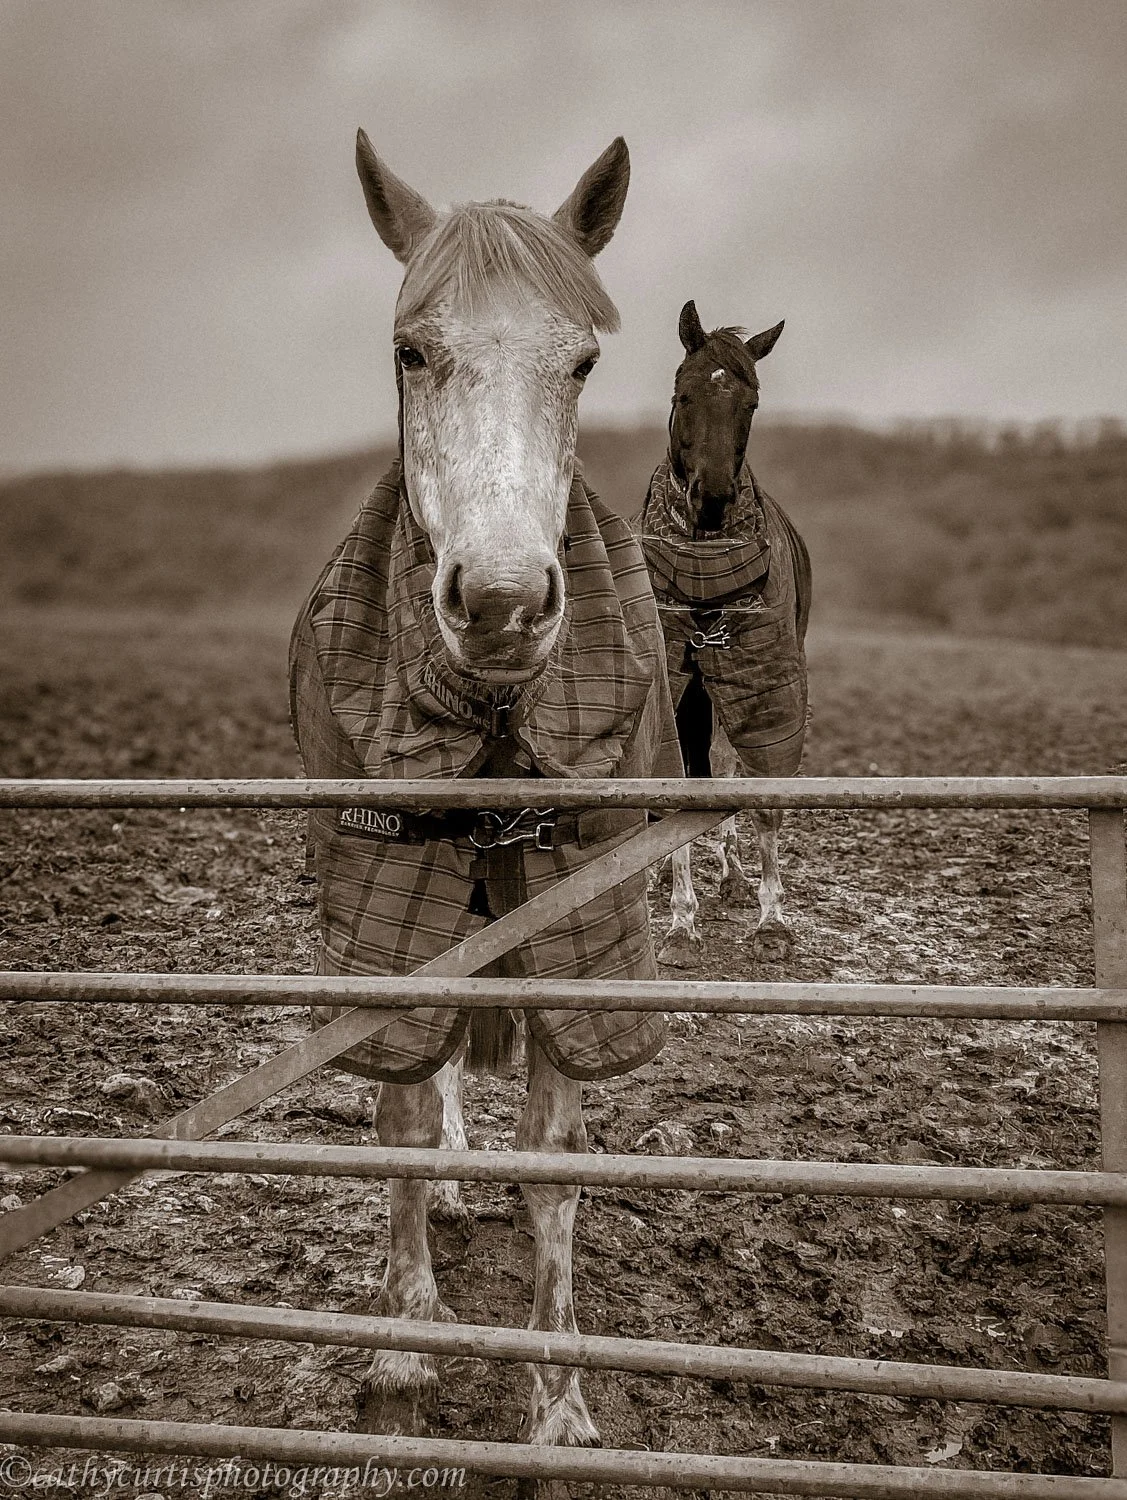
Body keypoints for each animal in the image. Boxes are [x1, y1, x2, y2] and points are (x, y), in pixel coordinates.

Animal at [288, 133, 684, 1453]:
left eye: (582, 361)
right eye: (411, 349)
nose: (503, 604)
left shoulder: (580, 917)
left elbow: (556, 1153)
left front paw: (557, 1398)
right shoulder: (390, 910)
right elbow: (405, 1120)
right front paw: (405, 1346)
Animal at [637, 299, 811, 968]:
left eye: (752, 404)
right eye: (683, 395)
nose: (711, 498)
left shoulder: (763, 685)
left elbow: (760, 790)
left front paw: (770, 919)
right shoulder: (675, 682)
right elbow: (680, 783)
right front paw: (681, 925)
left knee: (729, 769)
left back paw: (735, 880)